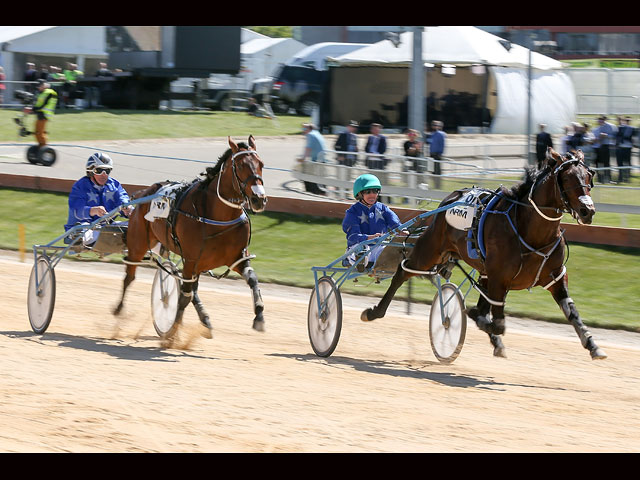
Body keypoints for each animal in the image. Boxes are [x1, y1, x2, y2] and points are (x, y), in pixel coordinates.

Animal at [112, 136, 268, 338]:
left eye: (261, 164)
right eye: (241, 165)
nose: (259, 199)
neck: (218, 216)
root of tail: (144, 193)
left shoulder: (237, 257)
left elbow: (253, 279)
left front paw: (259, 316)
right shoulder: (192, 259)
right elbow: (185, 295)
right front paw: (171, 333)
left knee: (192, 290)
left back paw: (205, 319)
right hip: (138, 243)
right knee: (130, 276)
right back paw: (119, 310)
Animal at [362, 149, 608, 360]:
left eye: (588, 176)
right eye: (567, 179)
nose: (588, 211)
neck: (530, 231)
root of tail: (453, 196)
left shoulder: (555, 277)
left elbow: (572, 311)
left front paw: (592, 345)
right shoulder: (499, 277)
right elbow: (496, 321)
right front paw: (475, 317)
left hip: (480, 269)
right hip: (430, 250)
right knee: (402, 272)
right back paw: (375, 311)